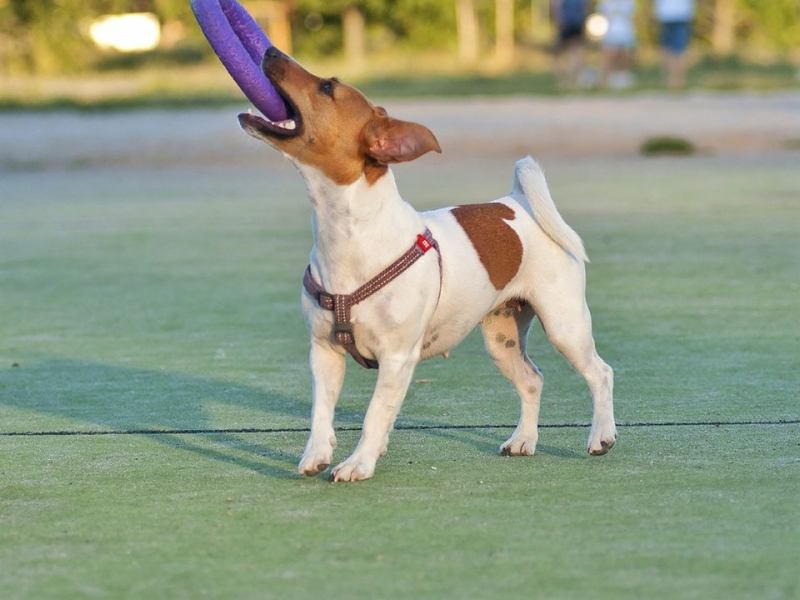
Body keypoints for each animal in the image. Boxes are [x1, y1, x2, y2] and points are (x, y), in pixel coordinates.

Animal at [239, 47, 620, 480]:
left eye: (327, 87)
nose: (270, 51)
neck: (347, 235)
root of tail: (518, 202)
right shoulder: (324, 352)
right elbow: (322, 411)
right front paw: (317, 454)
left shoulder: (396, 358)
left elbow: (374, 414)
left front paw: (358, 463)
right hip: (502, 339)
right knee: (532, 380)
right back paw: (523, 439)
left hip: (565, 325)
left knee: (601, 373)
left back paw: (601, 437)